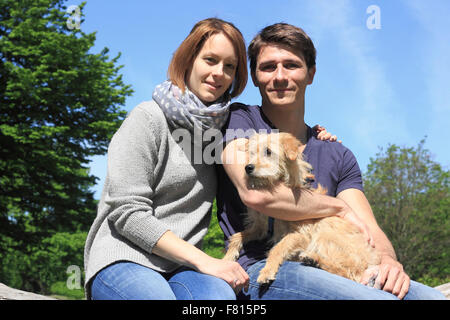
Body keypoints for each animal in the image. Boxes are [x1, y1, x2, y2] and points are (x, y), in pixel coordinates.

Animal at [222, 132, 380, 284]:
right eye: (252, 153)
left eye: (268, 151)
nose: (248, 168)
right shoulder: (260, 228)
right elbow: (237, 236)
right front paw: (227, 259)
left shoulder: (301, 234)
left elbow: (278, 247)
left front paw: (267, 270)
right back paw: (313, 260)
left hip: (325, 234)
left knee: (350, 274)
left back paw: (315, 260)